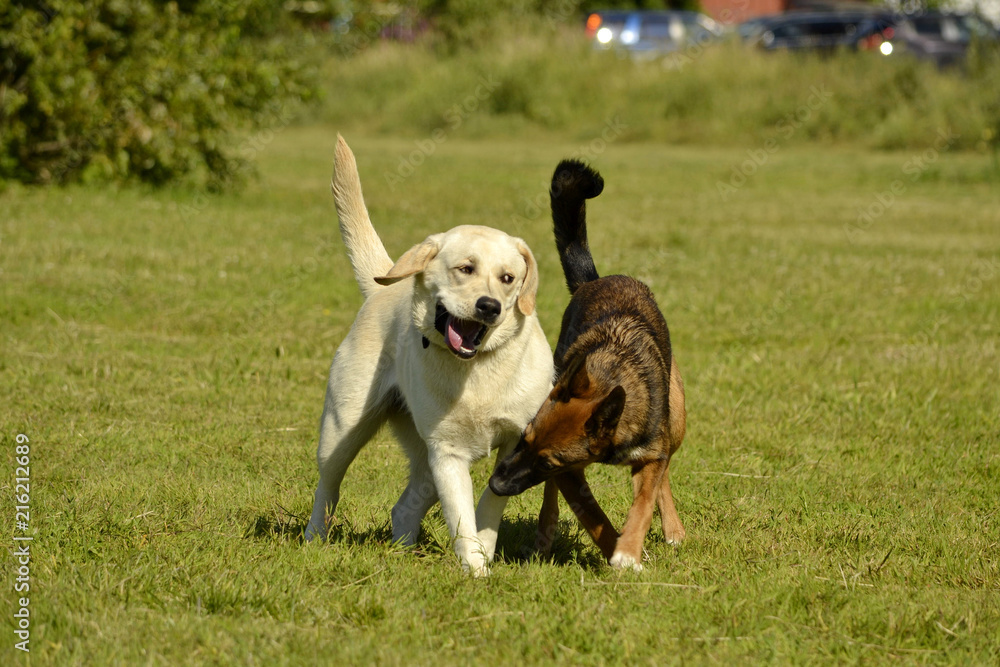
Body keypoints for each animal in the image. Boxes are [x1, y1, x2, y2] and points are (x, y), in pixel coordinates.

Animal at [486, 159, 688, 572]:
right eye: (524, 439)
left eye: (546, 461)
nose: (494, 485)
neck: (611, 379)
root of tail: (594, 280)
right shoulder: (569, 473)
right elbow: (592, 515)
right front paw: (618, 551)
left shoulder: (646, 454)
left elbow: (644, 501)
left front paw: (628, 551)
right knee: (551, 503)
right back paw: (544, 536)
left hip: (676, 419)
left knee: (664, 475)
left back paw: (673, 529)